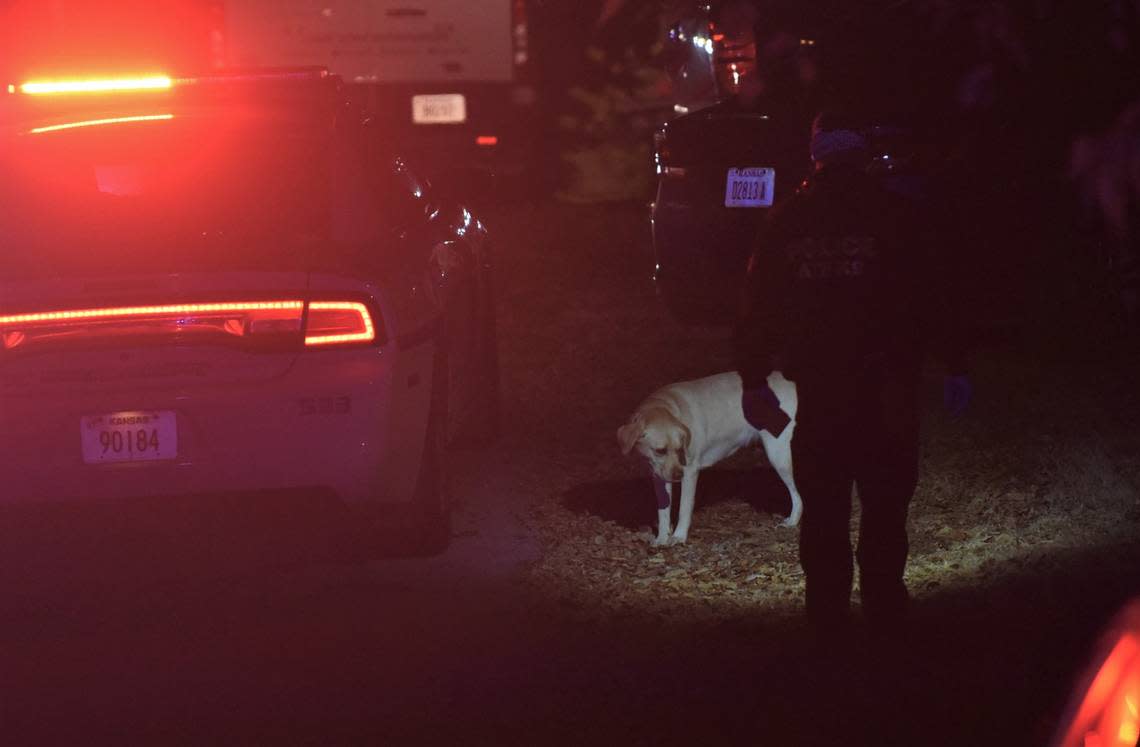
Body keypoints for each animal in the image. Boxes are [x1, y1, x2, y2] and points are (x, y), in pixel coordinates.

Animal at [620, 371, 798, 542]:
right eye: (660, 451)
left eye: (679, 449)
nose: (678, 475)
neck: (670, 407)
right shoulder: (659, 476)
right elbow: (663, 512)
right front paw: (662, 539)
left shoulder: (690, 472)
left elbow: (684, 508)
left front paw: (679, 537)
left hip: (779, 455)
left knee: (797, 495)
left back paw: (792, 521)